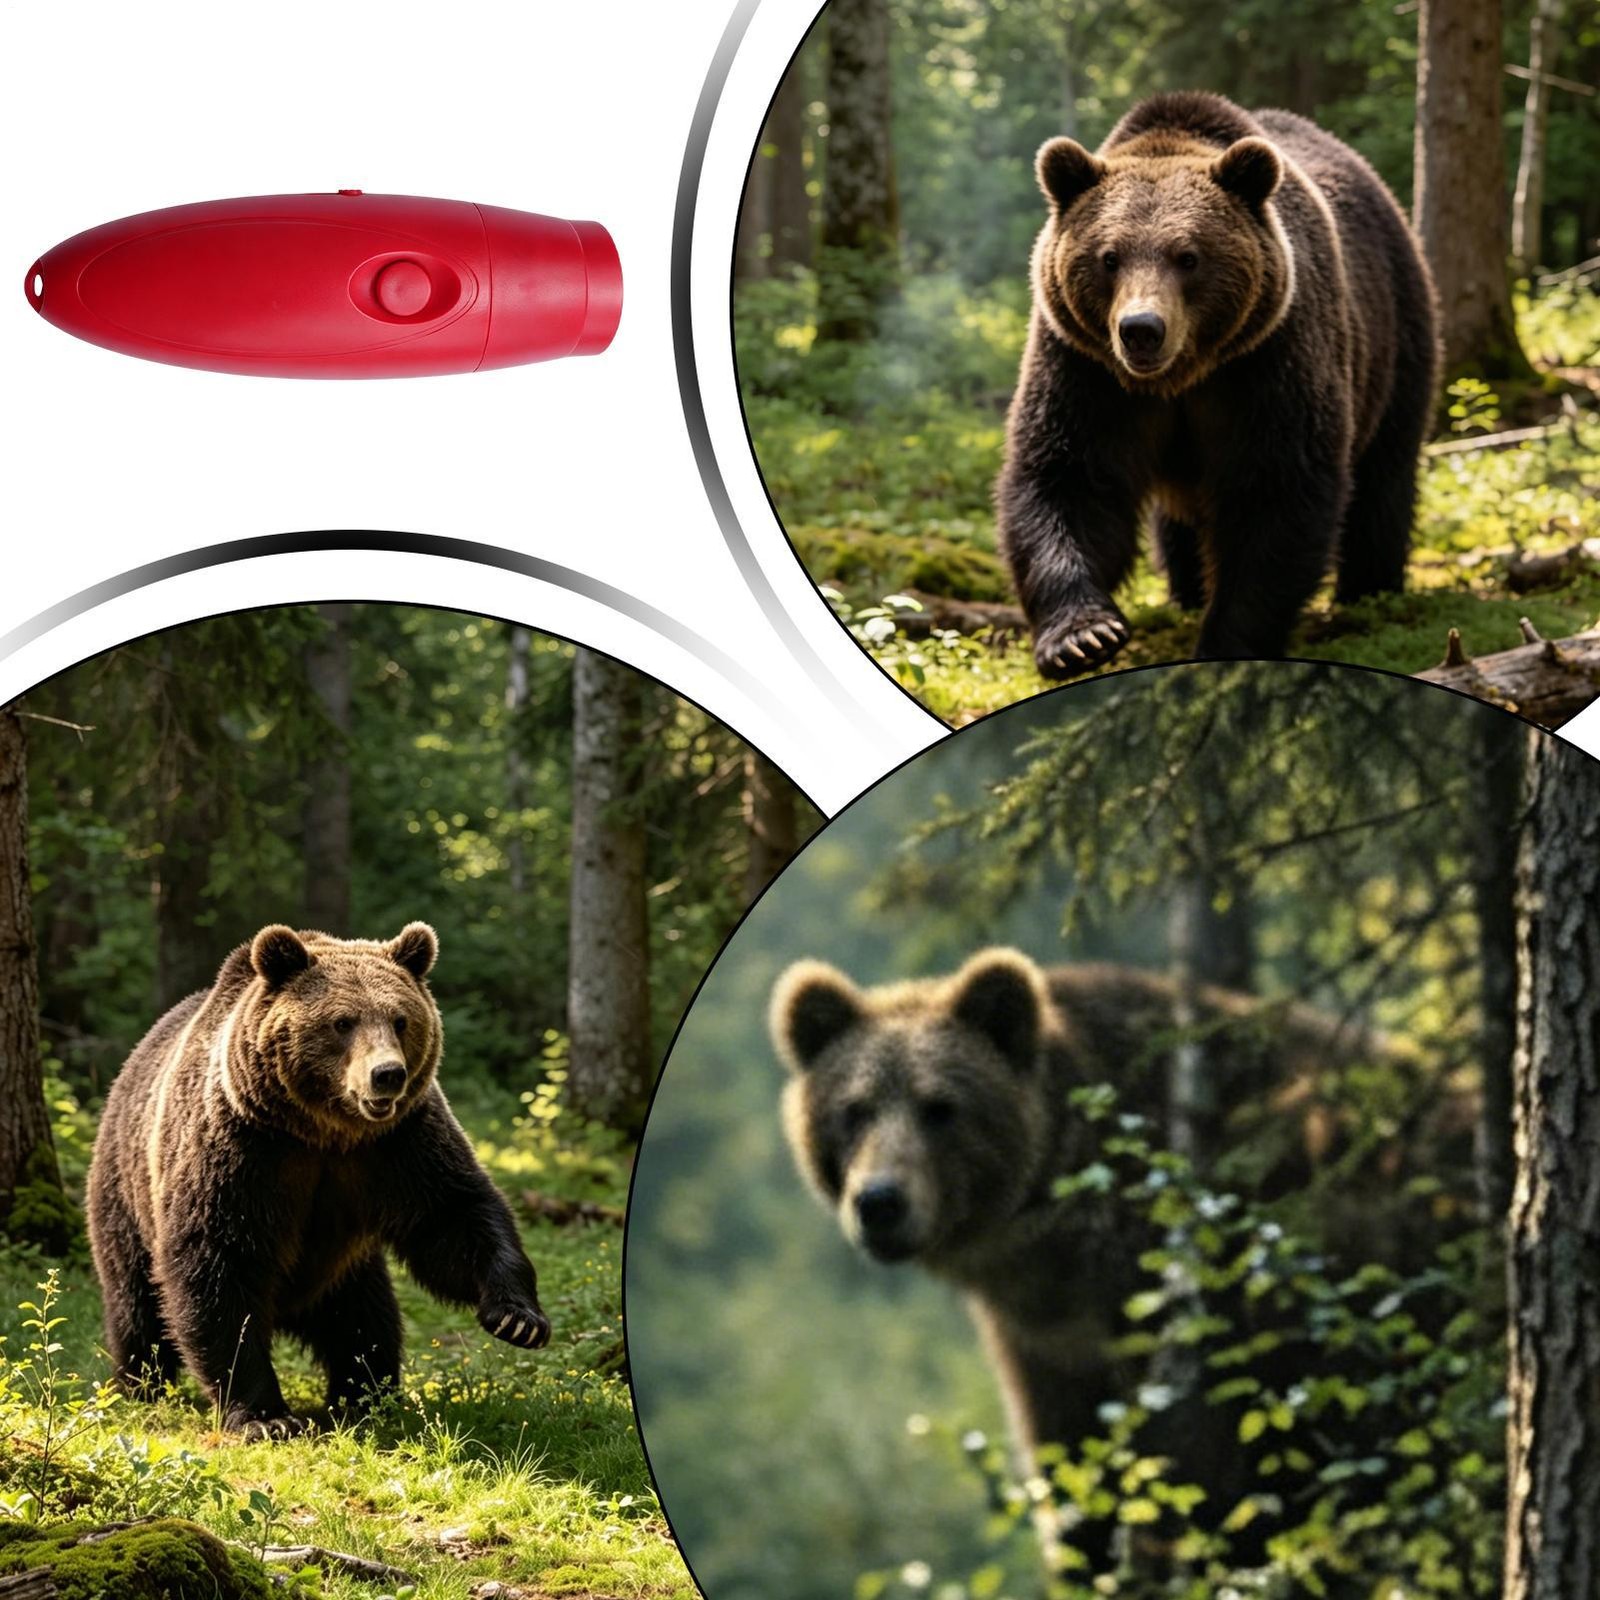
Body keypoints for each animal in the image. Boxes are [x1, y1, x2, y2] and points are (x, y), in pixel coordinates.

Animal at [86, 921, 550, 1441]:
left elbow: (454, 1215)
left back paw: (366, 1394)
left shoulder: (398, 1146)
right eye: (342, 1022)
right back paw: (138, 1386)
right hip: (123, 1197)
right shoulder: (241, 1150)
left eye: (400, 1020)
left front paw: (518, 1318)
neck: (324, 1130)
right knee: (136, 1307)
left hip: (347, 1270)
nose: (387, 1074)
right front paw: (265, 1417)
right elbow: (218, 1264)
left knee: (365, 1323)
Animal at [996, 90, 1439, 678]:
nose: (1141, 329)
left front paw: (1227, 641)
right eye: (1109, 257)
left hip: (1395, 332)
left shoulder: (1268, 361)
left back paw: (1369, 589)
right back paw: (1186, 591)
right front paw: (1082, 637)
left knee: (1383, 473)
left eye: (1188, 256)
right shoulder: (1085, 368)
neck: (1180, 379)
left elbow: (1276, 491)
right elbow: (1068, 477)